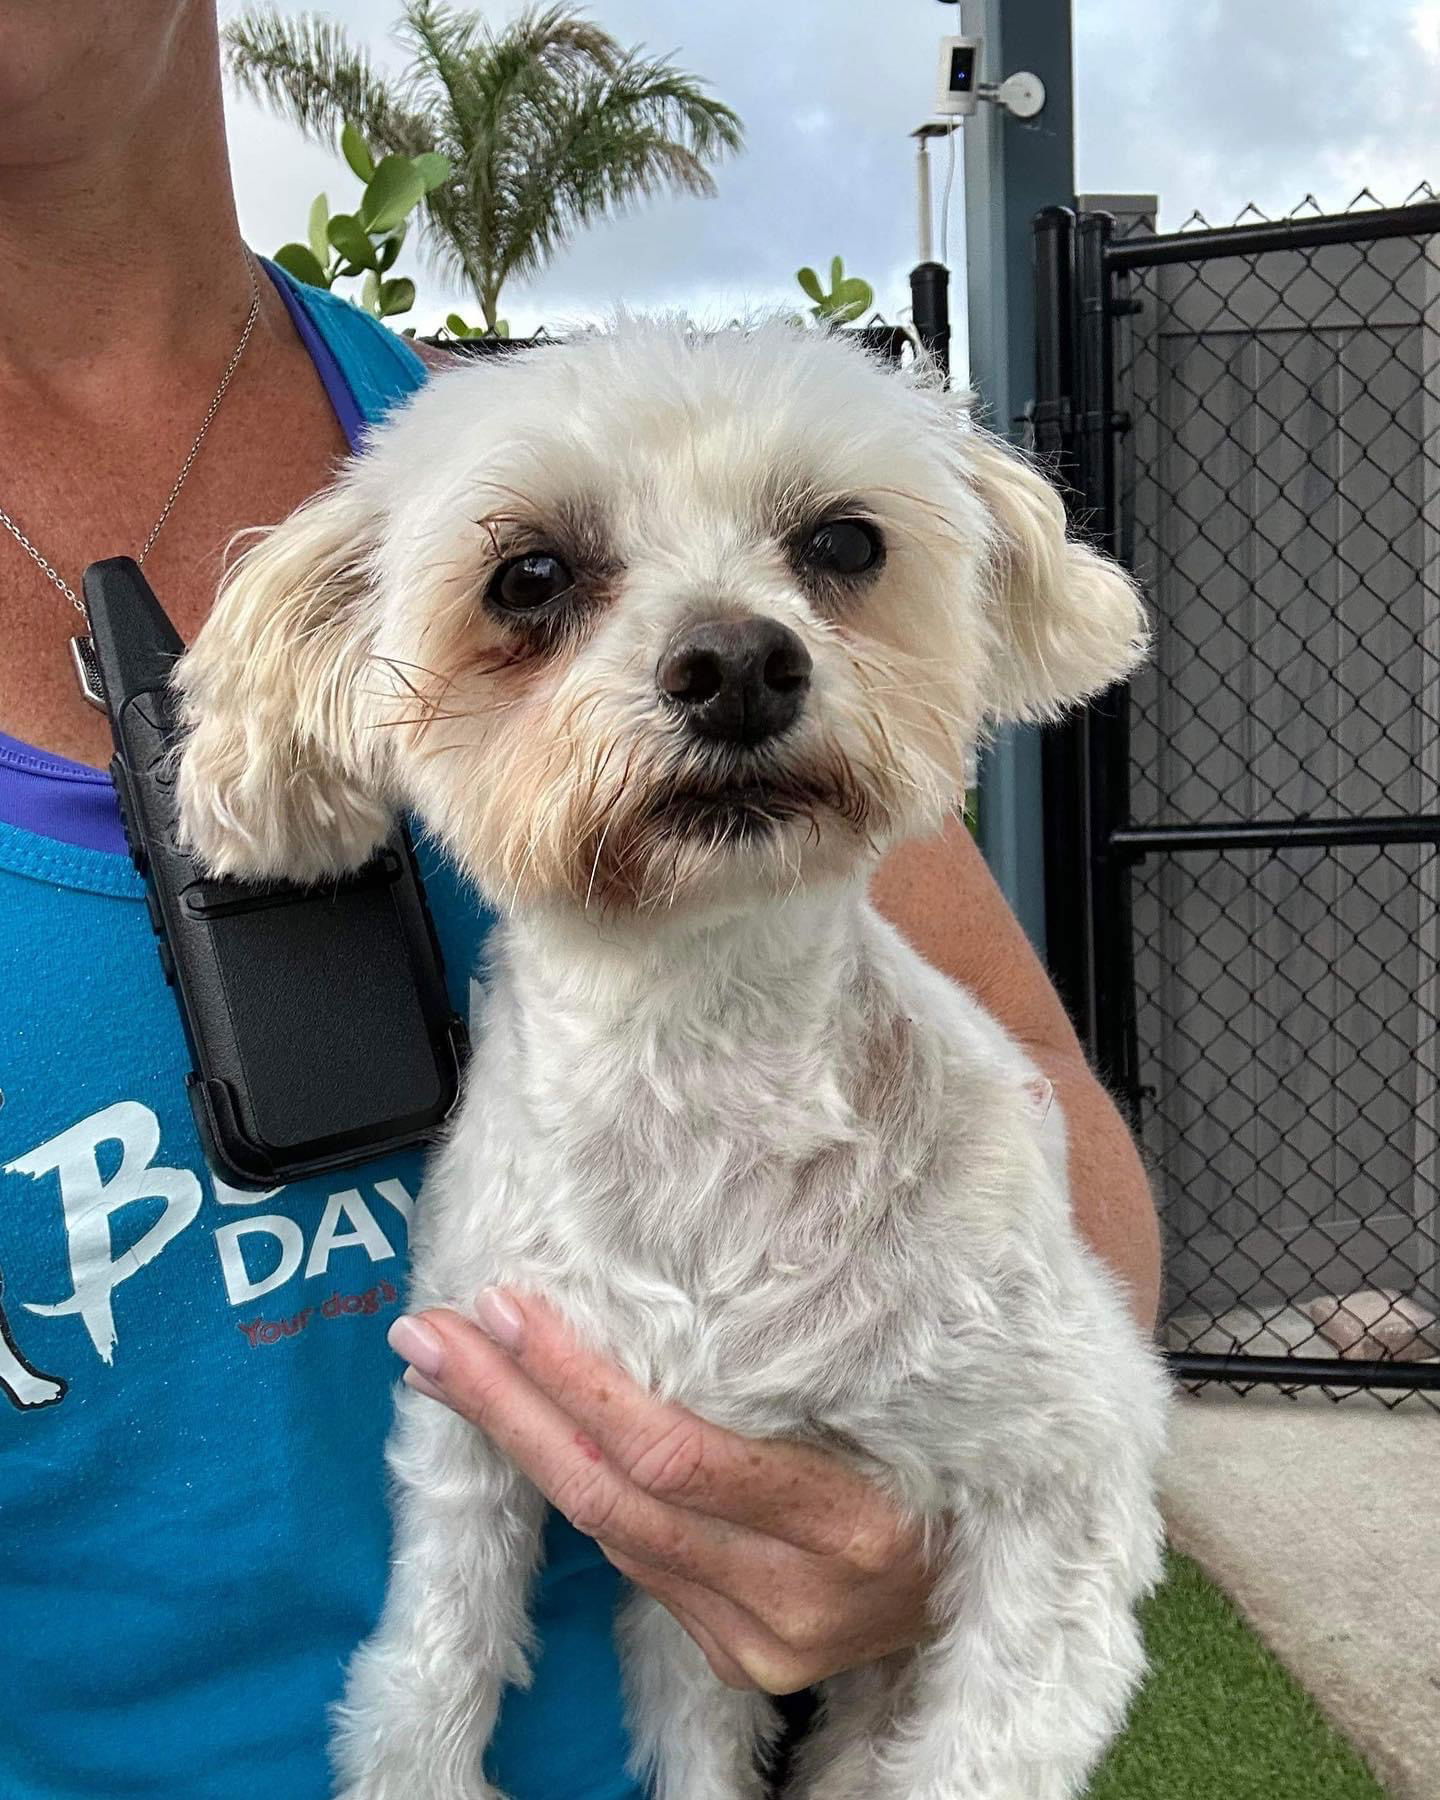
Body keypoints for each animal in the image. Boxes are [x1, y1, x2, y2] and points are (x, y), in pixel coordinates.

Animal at [177, 324, 1166, 1800]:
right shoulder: (470, 1414)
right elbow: (433, 1656)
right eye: (529, 575)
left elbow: (987, 1746)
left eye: (843, 541)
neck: (700, 1067)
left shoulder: (1069, 1469)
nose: (739, 662)